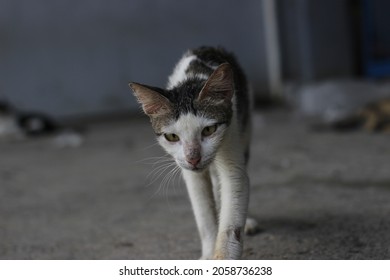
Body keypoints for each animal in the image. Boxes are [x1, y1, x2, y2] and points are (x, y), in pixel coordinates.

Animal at [128, 45, 258, 258]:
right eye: (172, 136)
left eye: (209, 130)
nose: (193, 159)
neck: (191, 79)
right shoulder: (189, 173)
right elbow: (203, 214)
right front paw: (208, 254)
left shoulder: (231, 131)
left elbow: (233, 198)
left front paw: (223, 256)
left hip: (245, 126)